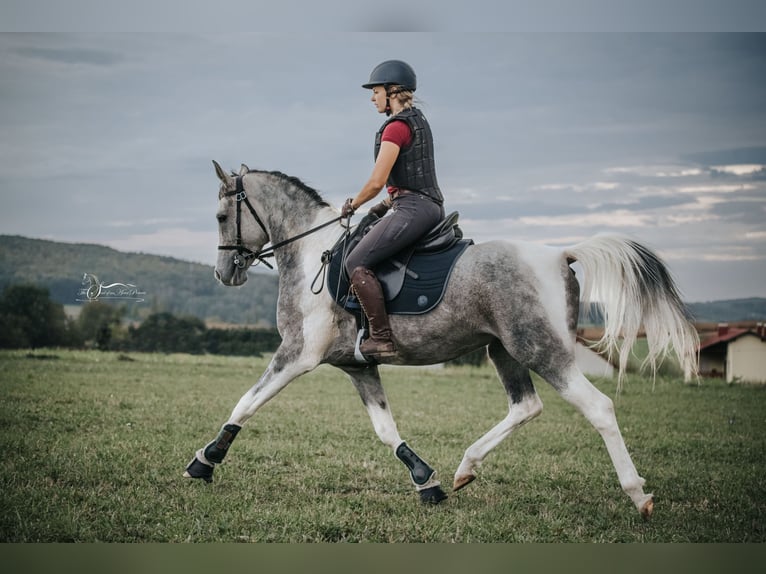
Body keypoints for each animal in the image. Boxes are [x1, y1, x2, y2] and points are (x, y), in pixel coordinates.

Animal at [183, 160, 699, 518]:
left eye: (220, 216)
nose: (224, 273)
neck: (312, 250)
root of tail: (559, 255)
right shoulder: (357, 365)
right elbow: (385, 428)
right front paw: (424, 480)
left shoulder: (297, 354)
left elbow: (246, 403)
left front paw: (205, 461)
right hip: (503, 349)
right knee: (525, 406)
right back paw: (465, 468)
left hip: (542, 349)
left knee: (599, 408)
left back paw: (638, 495)